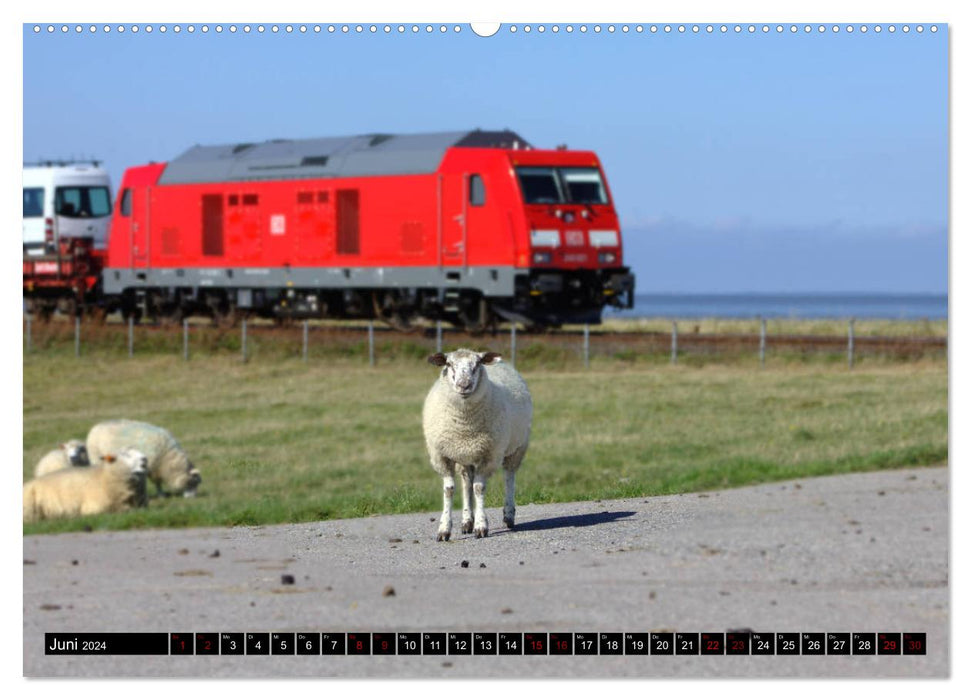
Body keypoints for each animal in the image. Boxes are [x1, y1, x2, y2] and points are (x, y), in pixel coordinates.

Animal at [424, 350, 532, 540]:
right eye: (449, 364)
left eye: (477, 364)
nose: (464, 385)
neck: (464, 424)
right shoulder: (442, 456)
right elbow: (449, 490)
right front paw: (444, 529)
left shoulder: (489, 455)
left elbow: (479, 488)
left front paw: (481, 526)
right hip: (465, 457)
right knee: (467, 482)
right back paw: (467, 521)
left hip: (517, 448)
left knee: (509, 477)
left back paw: (509, 515)